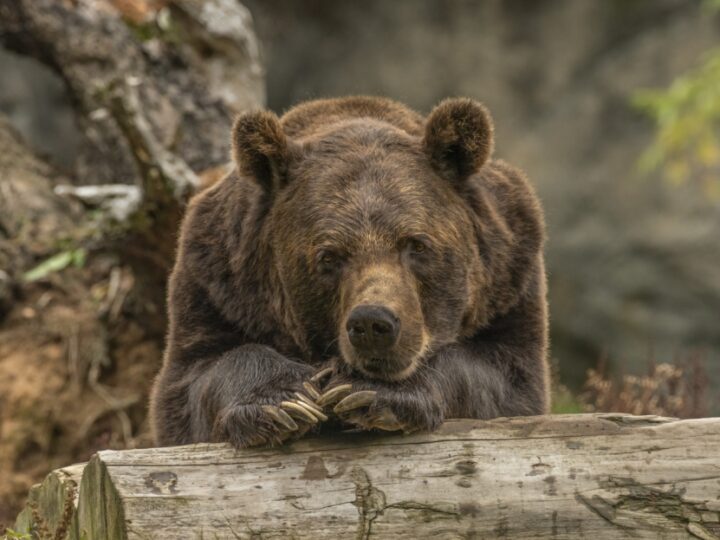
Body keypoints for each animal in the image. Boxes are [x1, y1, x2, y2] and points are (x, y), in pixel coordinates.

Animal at [149, 96, 548, 448]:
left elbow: (504, 378)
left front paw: (368, 392)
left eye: (416, 244)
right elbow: (195, 378)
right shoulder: (217, 284)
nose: (373, 324)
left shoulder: (510, 278)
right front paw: (285, 401)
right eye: (329, 256)